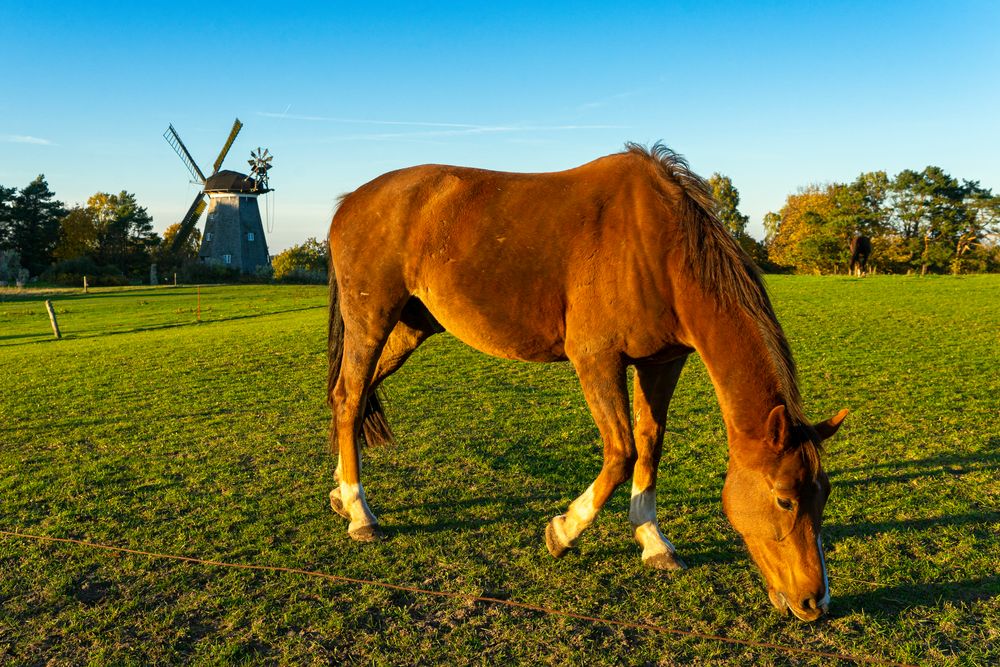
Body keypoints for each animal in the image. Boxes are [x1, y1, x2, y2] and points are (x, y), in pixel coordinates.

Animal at [324, 144, 848, 624]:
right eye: (784, 498)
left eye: (824, 493)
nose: (814, 602)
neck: (658, 247)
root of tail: (352, 200)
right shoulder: (597, 360)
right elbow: (622, 453)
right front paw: (563, 531)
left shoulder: (663, 363)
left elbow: (649, 446)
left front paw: (653, 541)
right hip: (372, 321)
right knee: (350, 399)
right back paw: (360, 513)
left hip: (410, 327)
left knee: (349, 397)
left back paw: (340, 494)